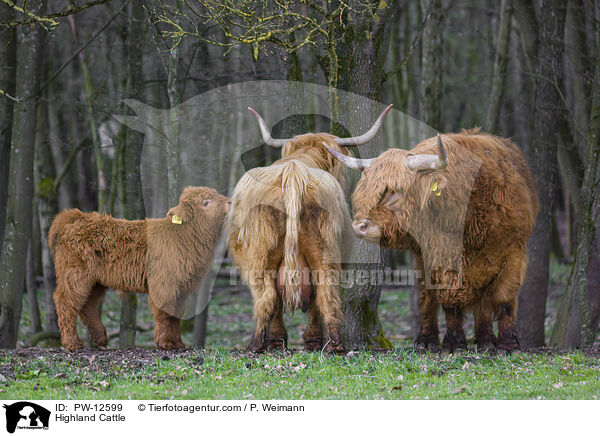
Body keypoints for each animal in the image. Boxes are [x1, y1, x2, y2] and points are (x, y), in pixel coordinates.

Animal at [47, 186, 227, 350]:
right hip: (75, 274)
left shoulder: (180, 287)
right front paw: (165, 343)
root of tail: (76, 216)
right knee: (65, 301)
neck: (183, 236)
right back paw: (72, 343)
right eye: (205, 202)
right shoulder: (164, 285)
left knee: (87, 305)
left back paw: (100, 339)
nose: (229, 202)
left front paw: (178, 343)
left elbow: (176, 313)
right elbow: (165, 313)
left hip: (95, 281)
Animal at [227, 106, 392, 354]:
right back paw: (329, 344)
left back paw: (260, 344)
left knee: (273, 295)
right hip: (320, 249)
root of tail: (293, 173)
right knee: (320, 293)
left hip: (262, 254)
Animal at [326, 129, 540, 350]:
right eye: (364, 190)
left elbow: (504, 299)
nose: (359, 226)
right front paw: (454, 342)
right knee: (428, 299)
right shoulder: (437, 259)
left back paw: (486, 340)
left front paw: (508, 344)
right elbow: (448, 301)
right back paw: (427, 341)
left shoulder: (514, 253)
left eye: (394, 191)